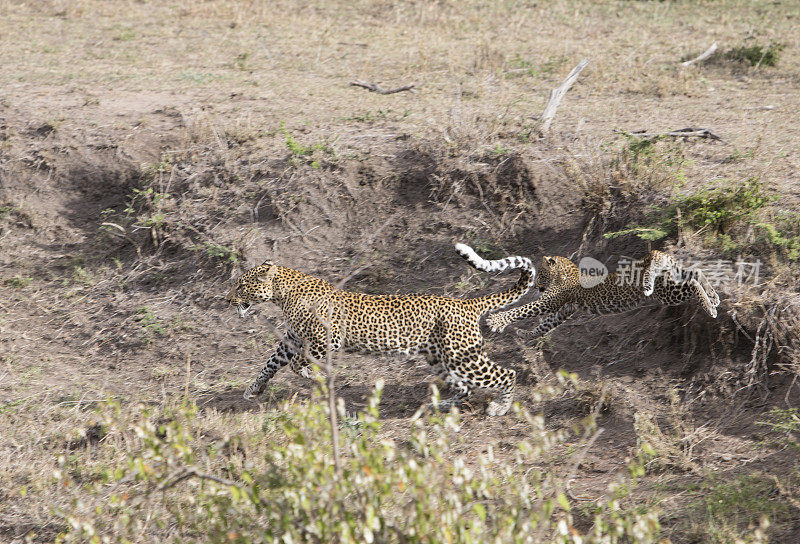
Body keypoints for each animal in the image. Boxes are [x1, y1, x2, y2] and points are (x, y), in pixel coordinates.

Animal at [228, 243, 536, 416]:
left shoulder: (326, 339)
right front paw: (253, 389)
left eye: (240, 285)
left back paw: (500, 408)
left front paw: (312, 375)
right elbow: (270, 363)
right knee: (464, 388)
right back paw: (442, 406)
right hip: (441, 359)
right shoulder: (291, 339)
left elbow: (298, 363)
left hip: (464, 357)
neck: (283, 293)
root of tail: (466, 302)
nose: (227, 299)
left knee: (507, 374)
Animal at [484, 251, 720, 336]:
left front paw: (496, 320)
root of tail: (655, 254)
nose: (534, 287)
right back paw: (714, 297)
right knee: (696, 272)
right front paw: (526, 335)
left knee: (692, 284)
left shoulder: (550, 302)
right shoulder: (564, 310)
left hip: (665, 292)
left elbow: (522, 310)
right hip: (672, 277)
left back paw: (709, 307)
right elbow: (545, 325)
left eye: (540, 273)